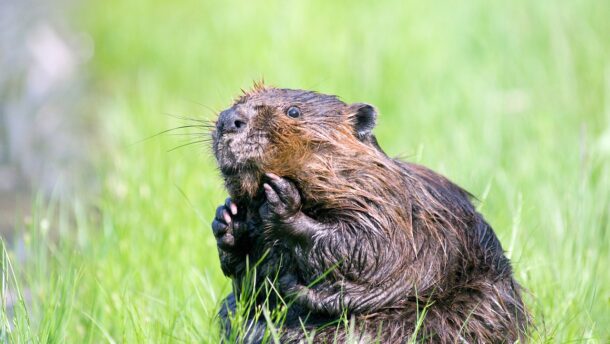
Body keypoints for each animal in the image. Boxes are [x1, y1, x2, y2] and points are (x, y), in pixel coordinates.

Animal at [209, 84, 528, 344]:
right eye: (240, 100)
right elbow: (254, 284)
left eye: (294, 111)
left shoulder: (390, 205)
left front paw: (283, 202)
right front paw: (228, 219)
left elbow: (370, 248)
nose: (229, 119)